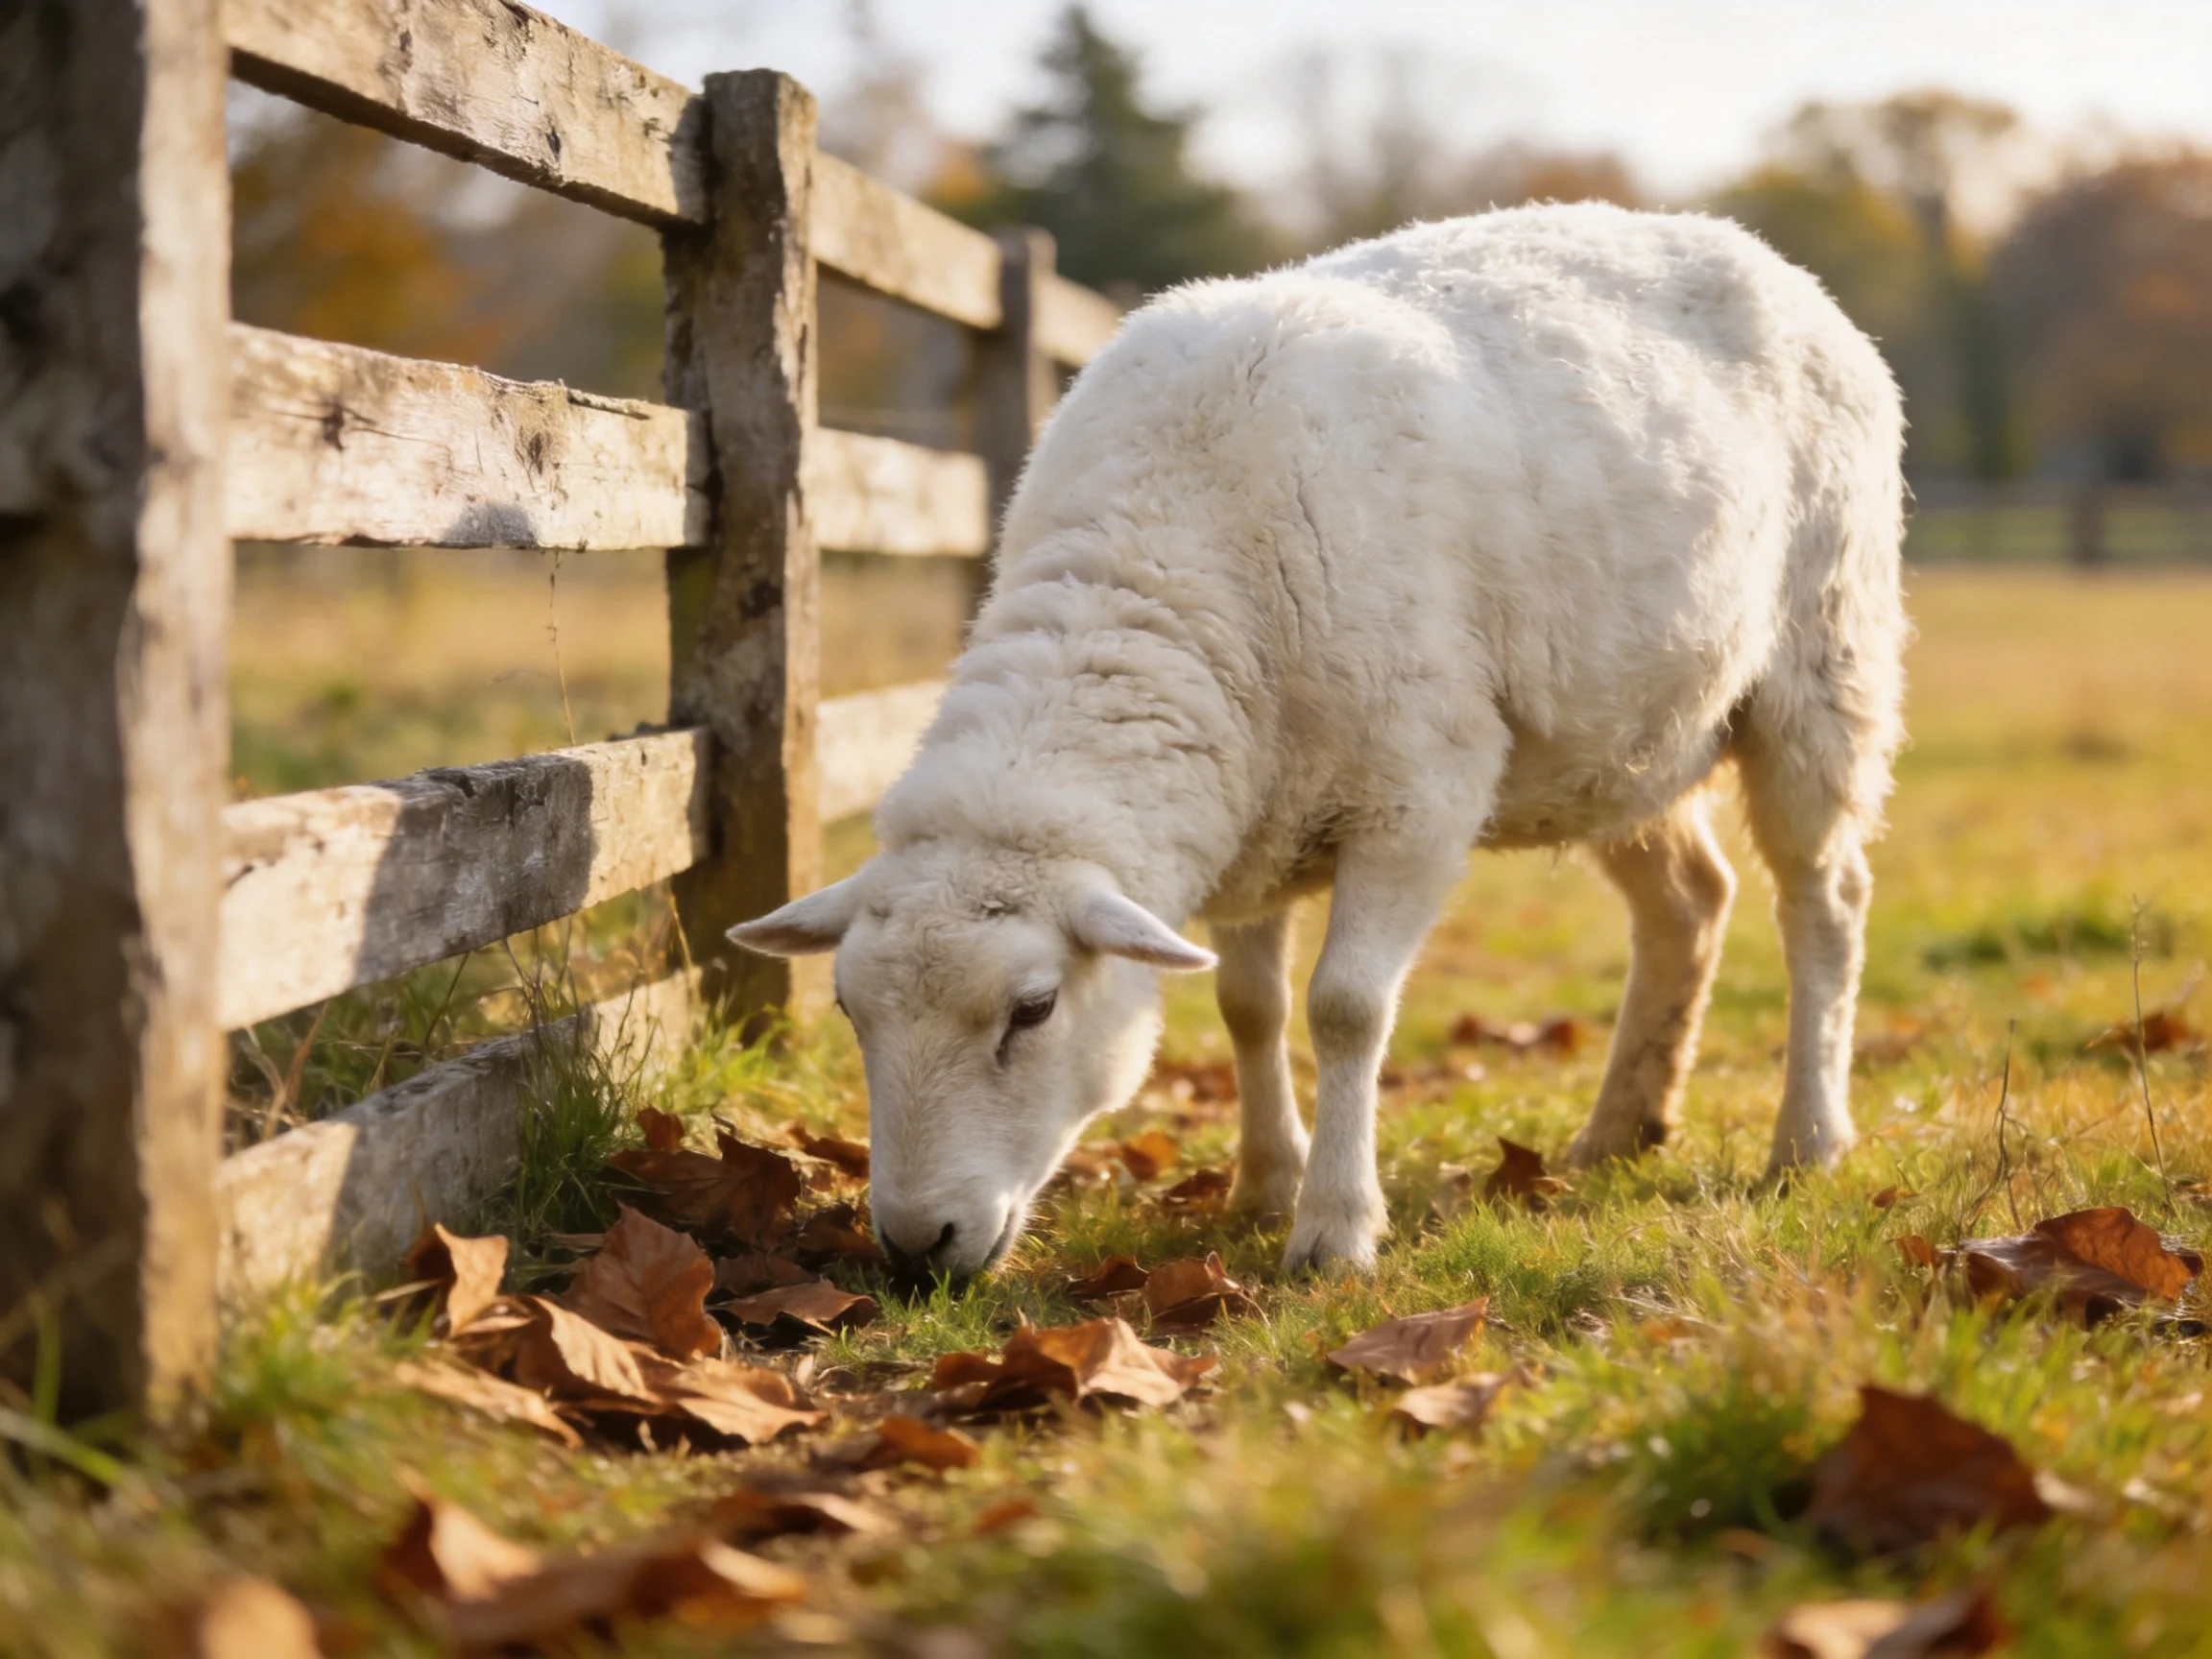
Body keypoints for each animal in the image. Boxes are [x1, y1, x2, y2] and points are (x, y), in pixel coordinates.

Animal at [734, 202, 1906, 1277]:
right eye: (847, 1008)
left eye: (1034, 1009)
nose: (915, 1245)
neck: (1159, 555)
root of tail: (1752, 247)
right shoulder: (1250, 808)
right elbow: (1247, 1007)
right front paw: (1263, 1184)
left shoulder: (1418, 795)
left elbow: (1344, 1010)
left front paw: (1334, 1231)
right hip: (1620, 736)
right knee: (1690, 902)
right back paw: (1621, 1127)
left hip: (1824, 662)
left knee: (1826, 901)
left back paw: (1808, 1140)